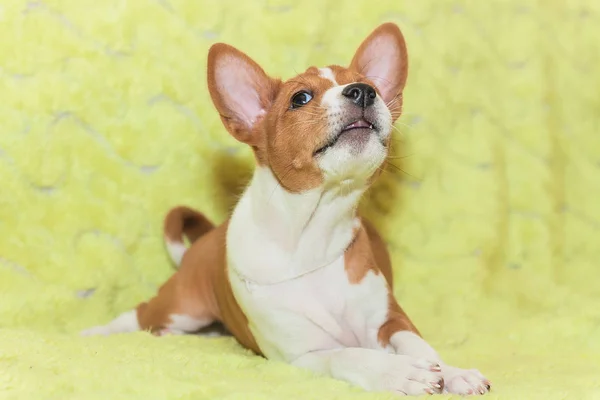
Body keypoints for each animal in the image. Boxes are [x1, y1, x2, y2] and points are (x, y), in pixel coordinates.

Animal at [81, 22, 492, 396]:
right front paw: (398, 372)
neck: (311, 236)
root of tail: (203, 243)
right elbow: (350, 355)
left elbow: (420, 346)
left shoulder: (390, 320)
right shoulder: (304, 356)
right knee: (139, 314)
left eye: (367, 84)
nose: (364, 91)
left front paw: (451, 371)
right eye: (301, 98)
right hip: (182, 306)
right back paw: (97, 333)